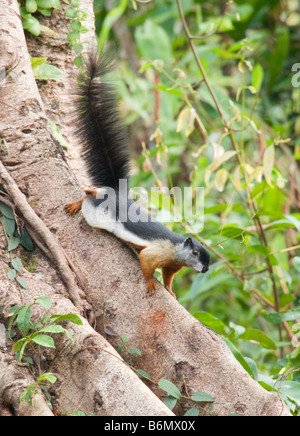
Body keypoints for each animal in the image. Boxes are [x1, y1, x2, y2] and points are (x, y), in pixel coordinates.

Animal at [66, 54, 210, 298]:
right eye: (195, 253)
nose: (205, 269)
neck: (176, 250)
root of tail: (118, 193)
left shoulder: (172, 265)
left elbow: (168, 277)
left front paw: (170, 291)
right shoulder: (156, 252)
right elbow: (147, 263)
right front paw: (151, 284)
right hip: (97, 214)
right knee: (91, 197)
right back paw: (80, 200)